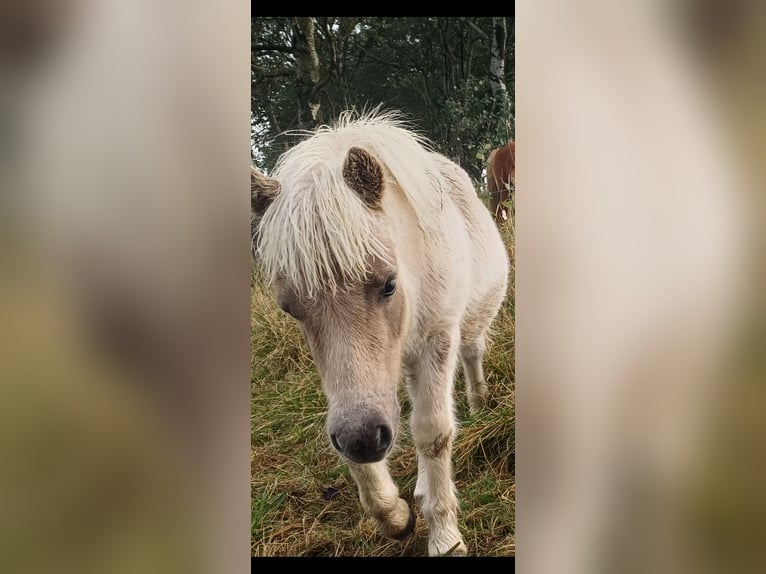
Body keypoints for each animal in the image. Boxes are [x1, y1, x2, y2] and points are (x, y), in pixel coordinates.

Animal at [252, 112, 510, 560]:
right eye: (289, 308)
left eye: (389, 284)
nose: (363, 441)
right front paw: (394, 514)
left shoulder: (437, 340)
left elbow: (433, 431)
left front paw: (445, 537)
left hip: (469, 325)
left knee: (472, 354)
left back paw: (479, 404)